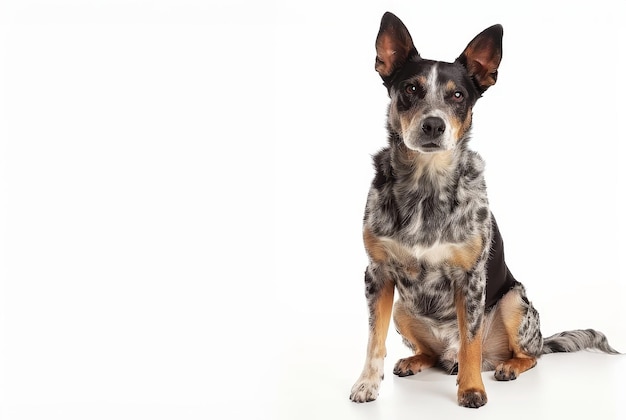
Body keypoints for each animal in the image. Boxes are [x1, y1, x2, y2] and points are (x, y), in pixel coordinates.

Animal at [348, 11, 616, 408]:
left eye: (458, 95)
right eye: (410, 89)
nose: (433, 124)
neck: (426, 188)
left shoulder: (471, 281)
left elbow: (470, 343)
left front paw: (472, 389)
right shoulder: (377, 277)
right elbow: (373, 339)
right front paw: (367, 383)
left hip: (515, 303)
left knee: (527, 355)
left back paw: (506, 367)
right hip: (401, 307)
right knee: (433, 354)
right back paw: (416, 360)